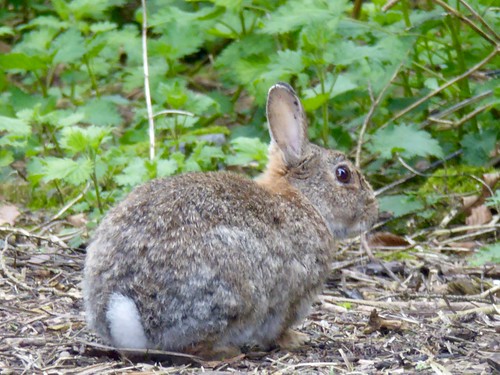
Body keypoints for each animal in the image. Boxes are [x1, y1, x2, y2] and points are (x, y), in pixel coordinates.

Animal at [83, 83, 378, 362]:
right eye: (343, 174)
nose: (373, 211)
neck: (305, 200)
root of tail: (128, 314)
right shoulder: (294, 296)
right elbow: (278, 328)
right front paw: (295, 340)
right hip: (233, 293)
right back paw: (227, 351)